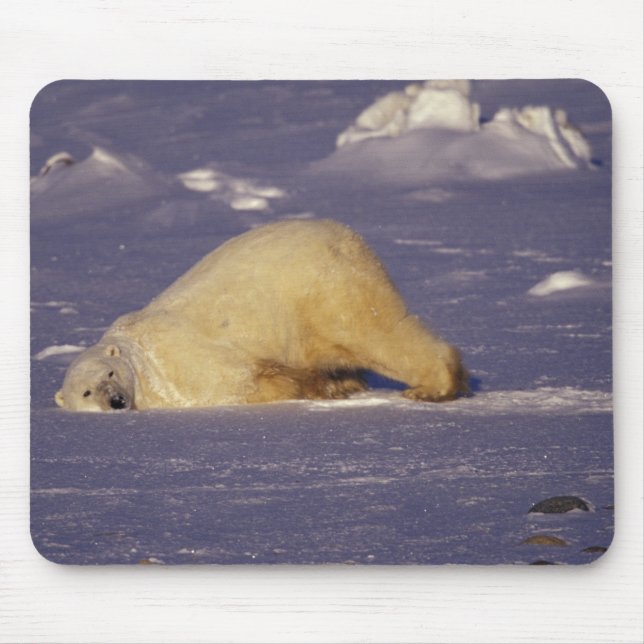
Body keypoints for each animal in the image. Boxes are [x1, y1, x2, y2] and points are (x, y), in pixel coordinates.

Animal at [55, 219, 468, 411]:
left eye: (110, 374)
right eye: (87, 391)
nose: (116, 401)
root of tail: (345, 234)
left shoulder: (181, 364)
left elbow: (249, 379)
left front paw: (313, 387)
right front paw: (333, 386)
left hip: (323, 288)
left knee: (373, 334)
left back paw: (431, 387)